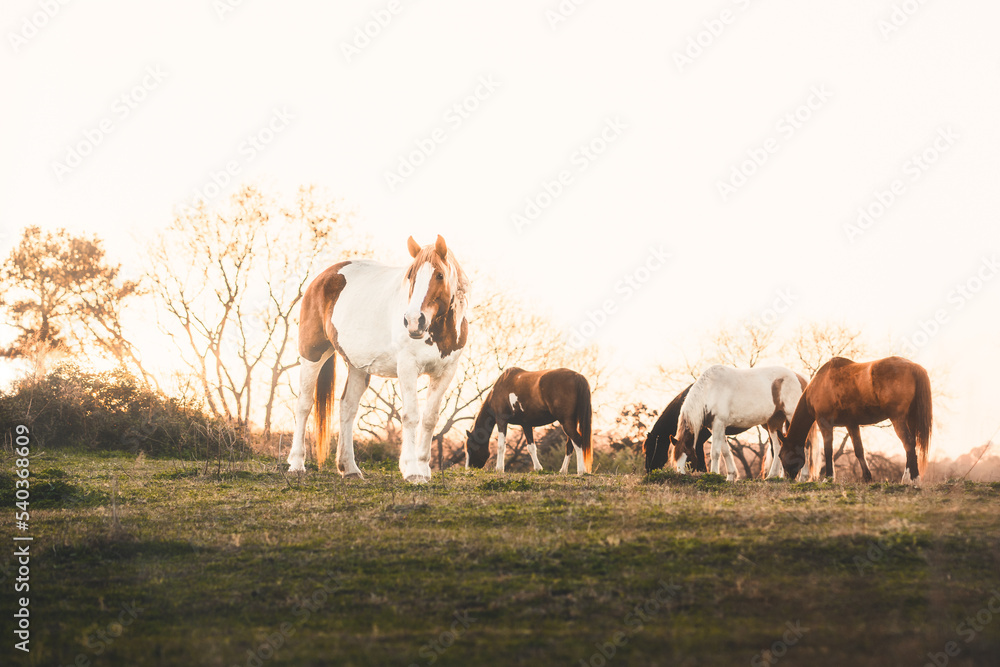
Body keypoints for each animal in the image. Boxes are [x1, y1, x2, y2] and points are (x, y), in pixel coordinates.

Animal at [286, 235, 470, 483]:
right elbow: (411, 416)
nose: (414, 321)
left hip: (357, 366)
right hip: (312, 356)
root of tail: (323, 277)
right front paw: (411, 470)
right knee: (304, 406)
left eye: (439, 275)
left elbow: (430, 418)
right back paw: (296, 464)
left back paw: (350, 468)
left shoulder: (446, 371)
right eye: (411, 276)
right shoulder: (407, 367)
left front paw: (423, 468)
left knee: (347, 408)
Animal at [669, 365, 809, 481]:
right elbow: (725, 451)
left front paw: (714, 475)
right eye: (676, 460)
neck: (710, 390)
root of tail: (798, 376)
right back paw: (773, 476)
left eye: (688, 459)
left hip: (792, 415)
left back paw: (803, 477)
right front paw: (731, 477)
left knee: (805, 444)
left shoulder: (718, 423)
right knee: (777, 447)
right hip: (774, 422)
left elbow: (715, 452)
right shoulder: (716, 427)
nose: (681, 477)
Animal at [777, 356, 931, 483]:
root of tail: (913, 366)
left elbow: (828, 450)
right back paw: (910, 478)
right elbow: (859, 450)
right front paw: (867, 478)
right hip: (910, 419)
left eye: (780, 455)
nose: (788, 479)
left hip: (898, 419)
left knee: (908, 443)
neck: (819, 384)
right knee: (912, 444)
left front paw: (828, 478)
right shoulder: (851, 424)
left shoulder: (825, 424)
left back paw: (911, 479)